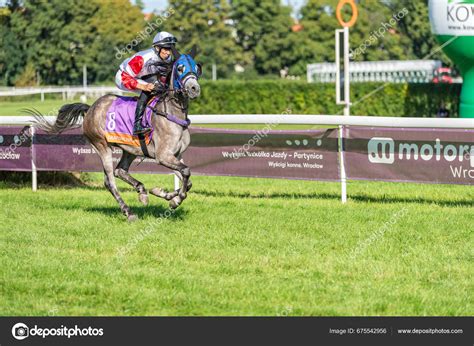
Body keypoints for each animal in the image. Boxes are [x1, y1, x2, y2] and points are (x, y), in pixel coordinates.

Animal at [31, 48, 202, 222]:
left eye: (196, 67)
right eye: (180, 68)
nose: (194, 89)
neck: (171, 113)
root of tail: (91, 108)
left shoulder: (176, 155)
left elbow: (187, 181)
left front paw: (162, 193)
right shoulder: (163, 156)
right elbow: (186, 172)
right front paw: (175, 201)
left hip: (130, 148)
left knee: (120, 171)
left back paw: (142, 192)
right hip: (102, 146)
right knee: (110, 181)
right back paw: (128, 211)